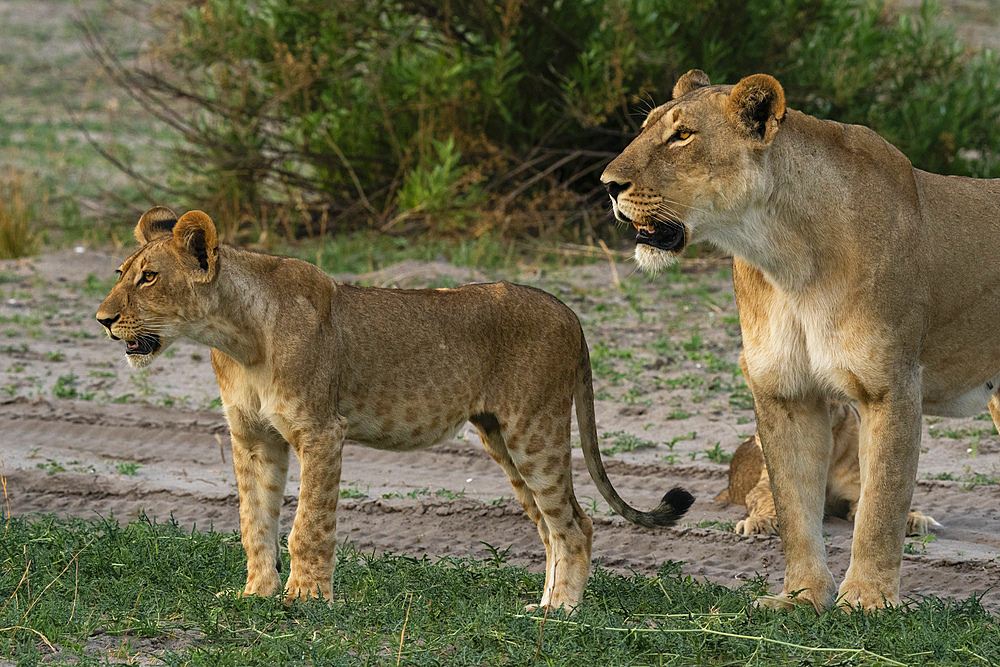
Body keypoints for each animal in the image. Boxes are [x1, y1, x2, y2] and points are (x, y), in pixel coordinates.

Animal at [95, 209, 696, 612]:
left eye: (149, 277)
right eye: (123, 271)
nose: (102, 319)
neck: (236, 335)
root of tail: (569, 311)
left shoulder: (322, 431)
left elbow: (308, 522)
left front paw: (303, 600)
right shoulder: (254, 439)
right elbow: (254, 520)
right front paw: (256, 594)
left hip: (535, 430)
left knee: (575, 523)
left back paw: (562, 612)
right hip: (501, 438)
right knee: (551, 526)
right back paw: (542, 605)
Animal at [600, 72, 1000, 612]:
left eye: (682, 136)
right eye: (644, 130)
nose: (608, 184)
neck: (787, 258)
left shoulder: (890, 388)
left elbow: (881, 506)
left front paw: (867, 601)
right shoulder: (786, 392)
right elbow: (794, 507)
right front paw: (802, 596)